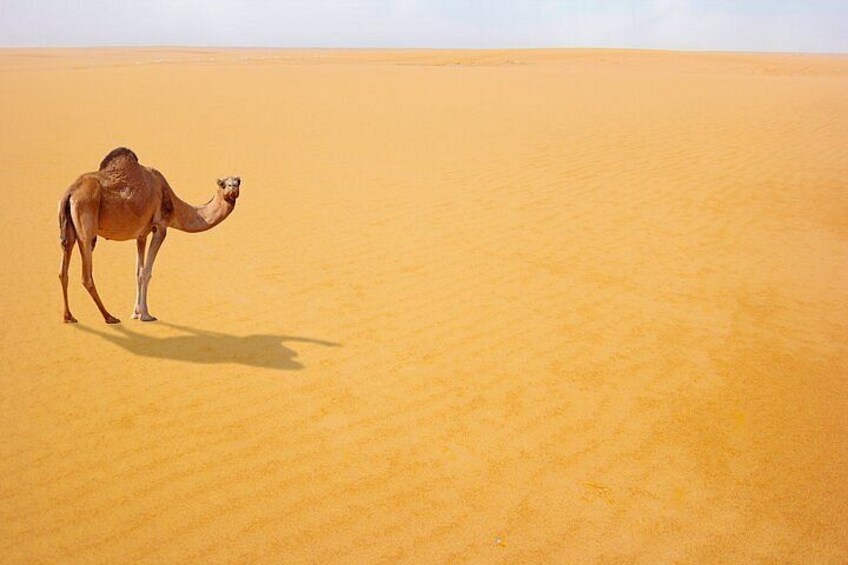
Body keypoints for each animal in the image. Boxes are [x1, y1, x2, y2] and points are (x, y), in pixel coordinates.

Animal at [58, 147, 241, 324]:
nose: (233, 188)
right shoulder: (160, 227)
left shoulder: (142, 234)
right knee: (86, 274)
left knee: (63, 270)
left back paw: (69, 317)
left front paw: (136, 313)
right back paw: (109, 317)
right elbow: (147, 271)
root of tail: (70, 192)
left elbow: (138, 271)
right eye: (223, 184)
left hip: (69, 229)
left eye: (238, 182)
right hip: (86, 221)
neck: (173, 203)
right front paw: (146, 315)